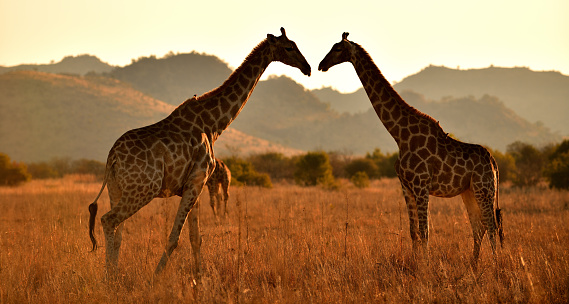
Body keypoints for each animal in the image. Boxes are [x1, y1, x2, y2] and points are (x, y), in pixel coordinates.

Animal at [87, 27, 310, 276]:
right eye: (289, 47)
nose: (308, 68)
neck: (213, 124)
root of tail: (113, 157)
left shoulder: (195, 183)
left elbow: (195, 237)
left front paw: (199, 276)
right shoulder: (197, 180)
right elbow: (175, 237)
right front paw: (156, 276)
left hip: (116, 189)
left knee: (118, 233)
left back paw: (113, 275)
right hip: (143, 189)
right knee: (108, 221)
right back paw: (111, 276)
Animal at [320, 33, 502, 266]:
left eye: (336, 48)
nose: (321, 65)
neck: (400, 135)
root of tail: (493, 161)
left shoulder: (421, 185)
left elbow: (425, 231)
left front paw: (426, 267)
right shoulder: (405, 186)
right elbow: (413, 231)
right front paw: (416, 265)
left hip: (484, 189)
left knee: (492, 226)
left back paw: (496, 266)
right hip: (468, 191)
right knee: (478, 227)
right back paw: (473, 265)